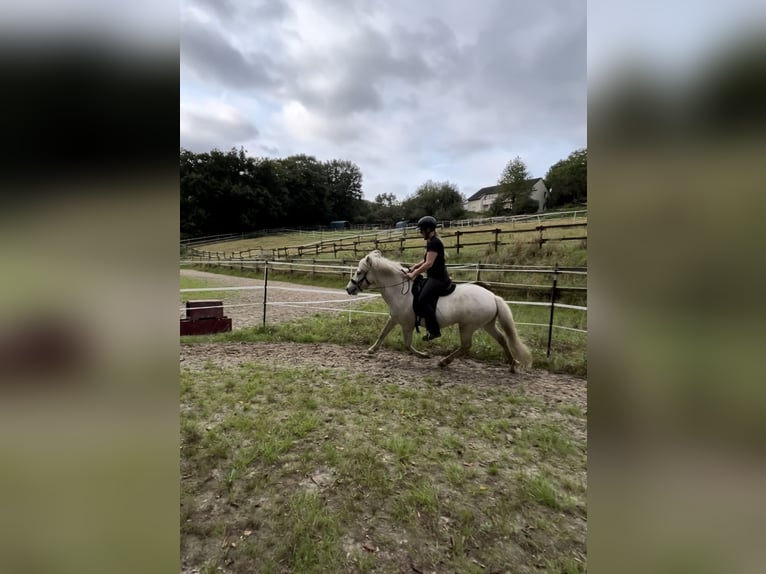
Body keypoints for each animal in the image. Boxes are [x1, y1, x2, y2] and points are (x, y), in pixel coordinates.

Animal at [348, 252, 536, 374]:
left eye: (358, 272)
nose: (349, 289)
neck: (401, 291)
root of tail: (493, 297)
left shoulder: (407, 323)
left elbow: (407, 345)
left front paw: (424, 355)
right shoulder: (394, 318)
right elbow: (383, 334)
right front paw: (371, 350)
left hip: (468, 326)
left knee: (466, 346)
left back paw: (443, 362)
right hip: (487, 325)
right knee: (502, 339)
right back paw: (512, 364)